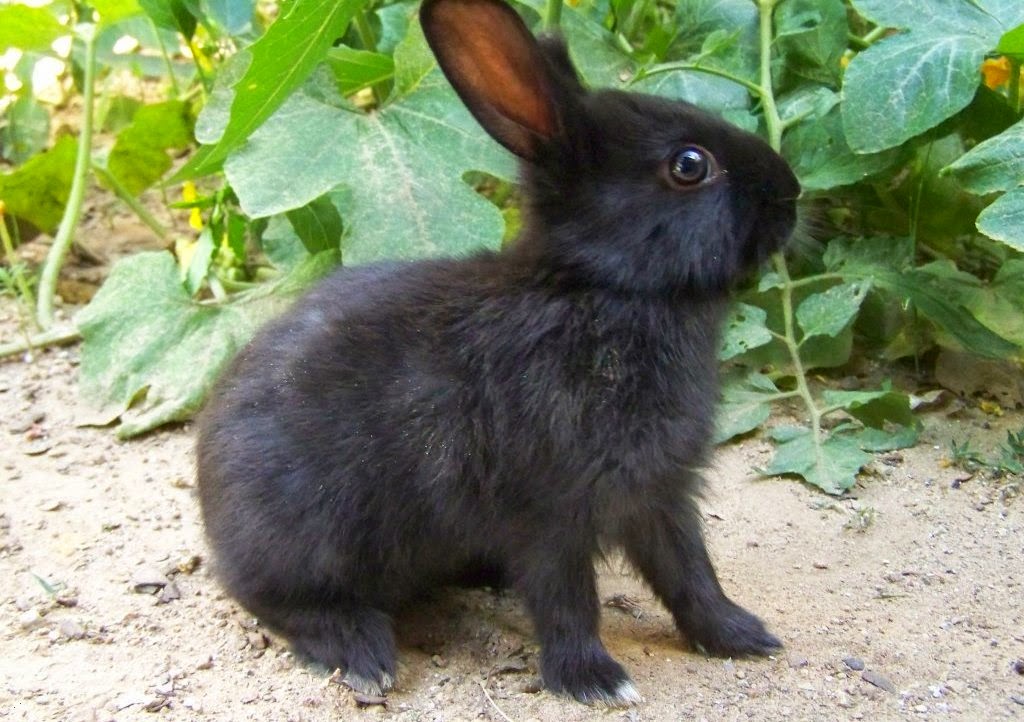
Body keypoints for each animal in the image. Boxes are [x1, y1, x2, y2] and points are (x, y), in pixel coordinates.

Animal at [196, 0, 800, 707]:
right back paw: (363, 654)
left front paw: (741, 636)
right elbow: (568, 601)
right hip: (309, 539)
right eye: (689, 165)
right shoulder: (550, 510)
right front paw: (594, 680)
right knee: (277, 600)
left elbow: (691, 575)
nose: (792, 193)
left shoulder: (659, 494)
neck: (601, 290)